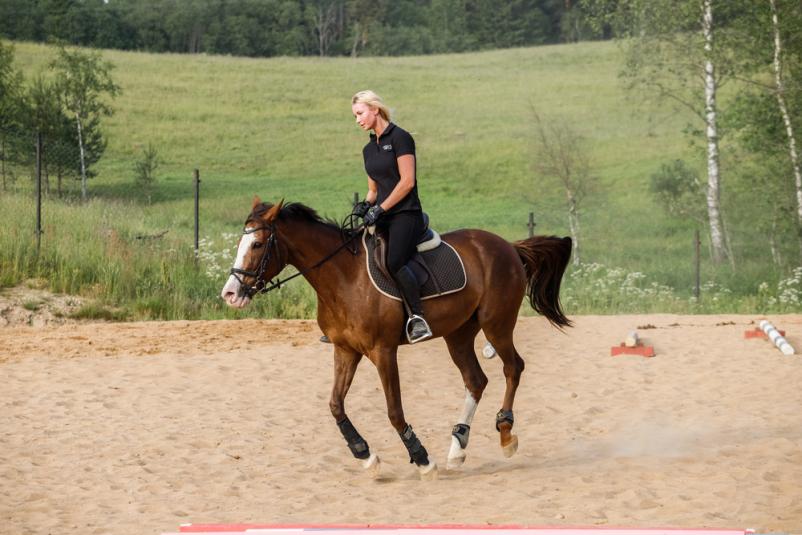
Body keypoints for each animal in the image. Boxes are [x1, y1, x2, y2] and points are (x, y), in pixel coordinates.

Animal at [220, 197, 572, 480]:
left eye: (257, 245)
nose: (230, 293)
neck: (343, 277)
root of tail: (509, 246)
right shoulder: (345, 350)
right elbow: (335, 405)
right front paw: (365, 455)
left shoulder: (383, 351)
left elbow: (394, 410)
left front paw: (421, 459)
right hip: (458, 334)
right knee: (476, 380)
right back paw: (457, 448)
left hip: (496, 325)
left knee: (513, 367)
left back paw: (505, 433)